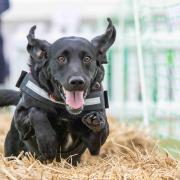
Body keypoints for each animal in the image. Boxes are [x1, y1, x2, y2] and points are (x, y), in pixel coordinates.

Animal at [0, 17, 116, 165]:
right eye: (61, 58)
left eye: (87, 58)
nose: (77, 82)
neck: (64, 108)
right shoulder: (21, 120)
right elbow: (36, 111)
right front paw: (47, 141)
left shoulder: (94, 145)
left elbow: (101, 128)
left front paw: (96, 120)